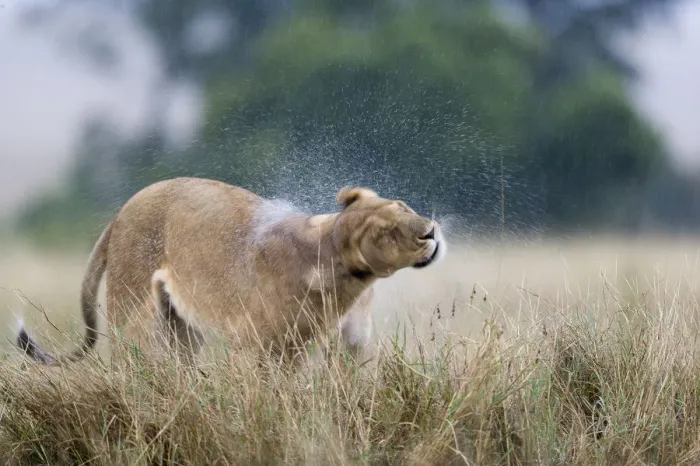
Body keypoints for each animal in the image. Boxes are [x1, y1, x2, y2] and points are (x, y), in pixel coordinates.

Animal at [16, 177, 446, 366]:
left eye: (403, 206)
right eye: (387, 233)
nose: (430, 232)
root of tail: (120, 214)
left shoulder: (320, 344)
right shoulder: (252, 344)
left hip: (181, 326)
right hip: (134, 312)